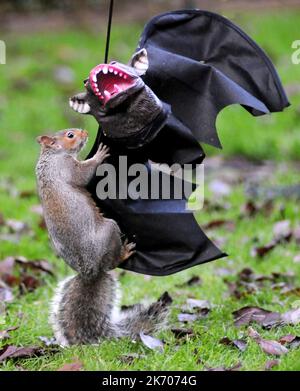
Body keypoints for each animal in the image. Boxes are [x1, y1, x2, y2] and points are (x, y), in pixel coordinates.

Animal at [35, 129, 169, 346]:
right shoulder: (66, 168)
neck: (51, 156)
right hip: (110, 231)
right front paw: (99, 154)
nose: (85, 132)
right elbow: (83, 175)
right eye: (70, 135)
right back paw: (124, 252)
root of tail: (92, 272)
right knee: (113, 261)